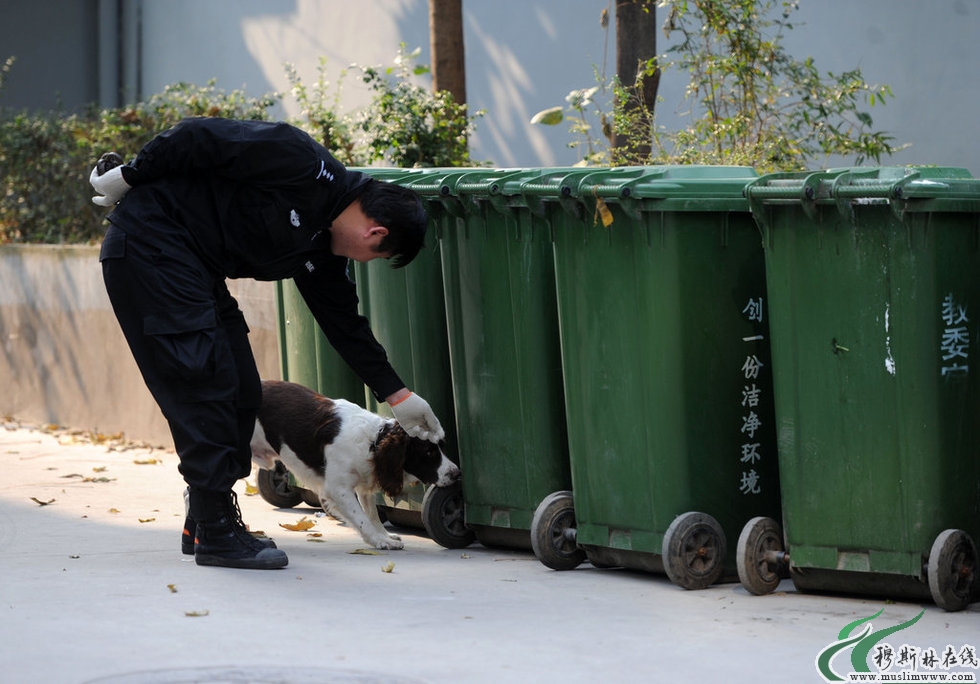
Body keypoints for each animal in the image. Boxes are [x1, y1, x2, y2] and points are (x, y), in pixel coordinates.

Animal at [247, 380, 458, 552]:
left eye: (442, 446)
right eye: (428, 452)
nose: (457, 474)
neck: (372, 443)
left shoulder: (364, 486)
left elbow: (372, 515)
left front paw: (384, 535)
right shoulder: (337, 489)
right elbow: (362, 518)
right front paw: (380, 541)